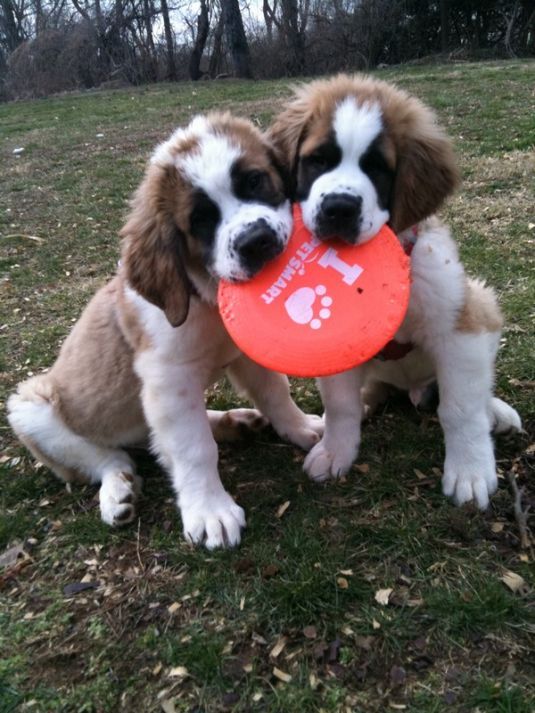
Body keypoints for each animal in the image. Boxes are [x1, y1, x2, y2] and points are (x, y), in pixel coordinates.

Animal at [7, 111, 322, 548]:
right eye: (200, 220)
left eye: (255, 181)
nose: (256, 241)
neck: (205, 297)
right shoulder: (168, 378)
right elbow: (193, 448)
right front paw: (209, 509)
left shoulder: (242, 356)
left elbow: (275, 392)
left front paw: (301, 427)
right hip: (30, 408)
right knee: (109, 457)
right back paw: (118, 489)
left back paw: (233, 421)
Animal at [270, 75, 520, 508]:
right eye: (317, 160)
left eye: (377, 168)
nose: (339, 208)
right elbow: (340, 404)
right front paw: (336, 450)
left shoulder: (460, 329)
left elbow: (460, 408)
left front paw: (470, 471)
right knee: (369, 390)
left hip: (482, 302)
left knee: (471, 392)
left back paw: (496, 413)